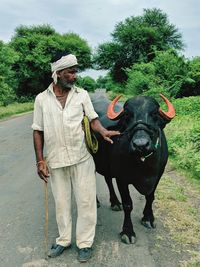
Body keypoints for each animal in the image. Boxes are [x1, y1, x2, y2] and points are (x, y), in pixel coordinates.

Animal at [91, 94, 176, 245]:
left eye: (154, 114)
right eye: (127, 115)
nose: (140, 144)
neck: (143, 163)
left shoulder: (158, 175)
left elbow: (150, 197)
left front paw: (148, 218)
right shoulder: (121, 178)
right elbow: (128, 204)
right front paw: (128, 232)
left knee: (107, 179)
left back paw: (115, 202)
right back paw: (97, 202)